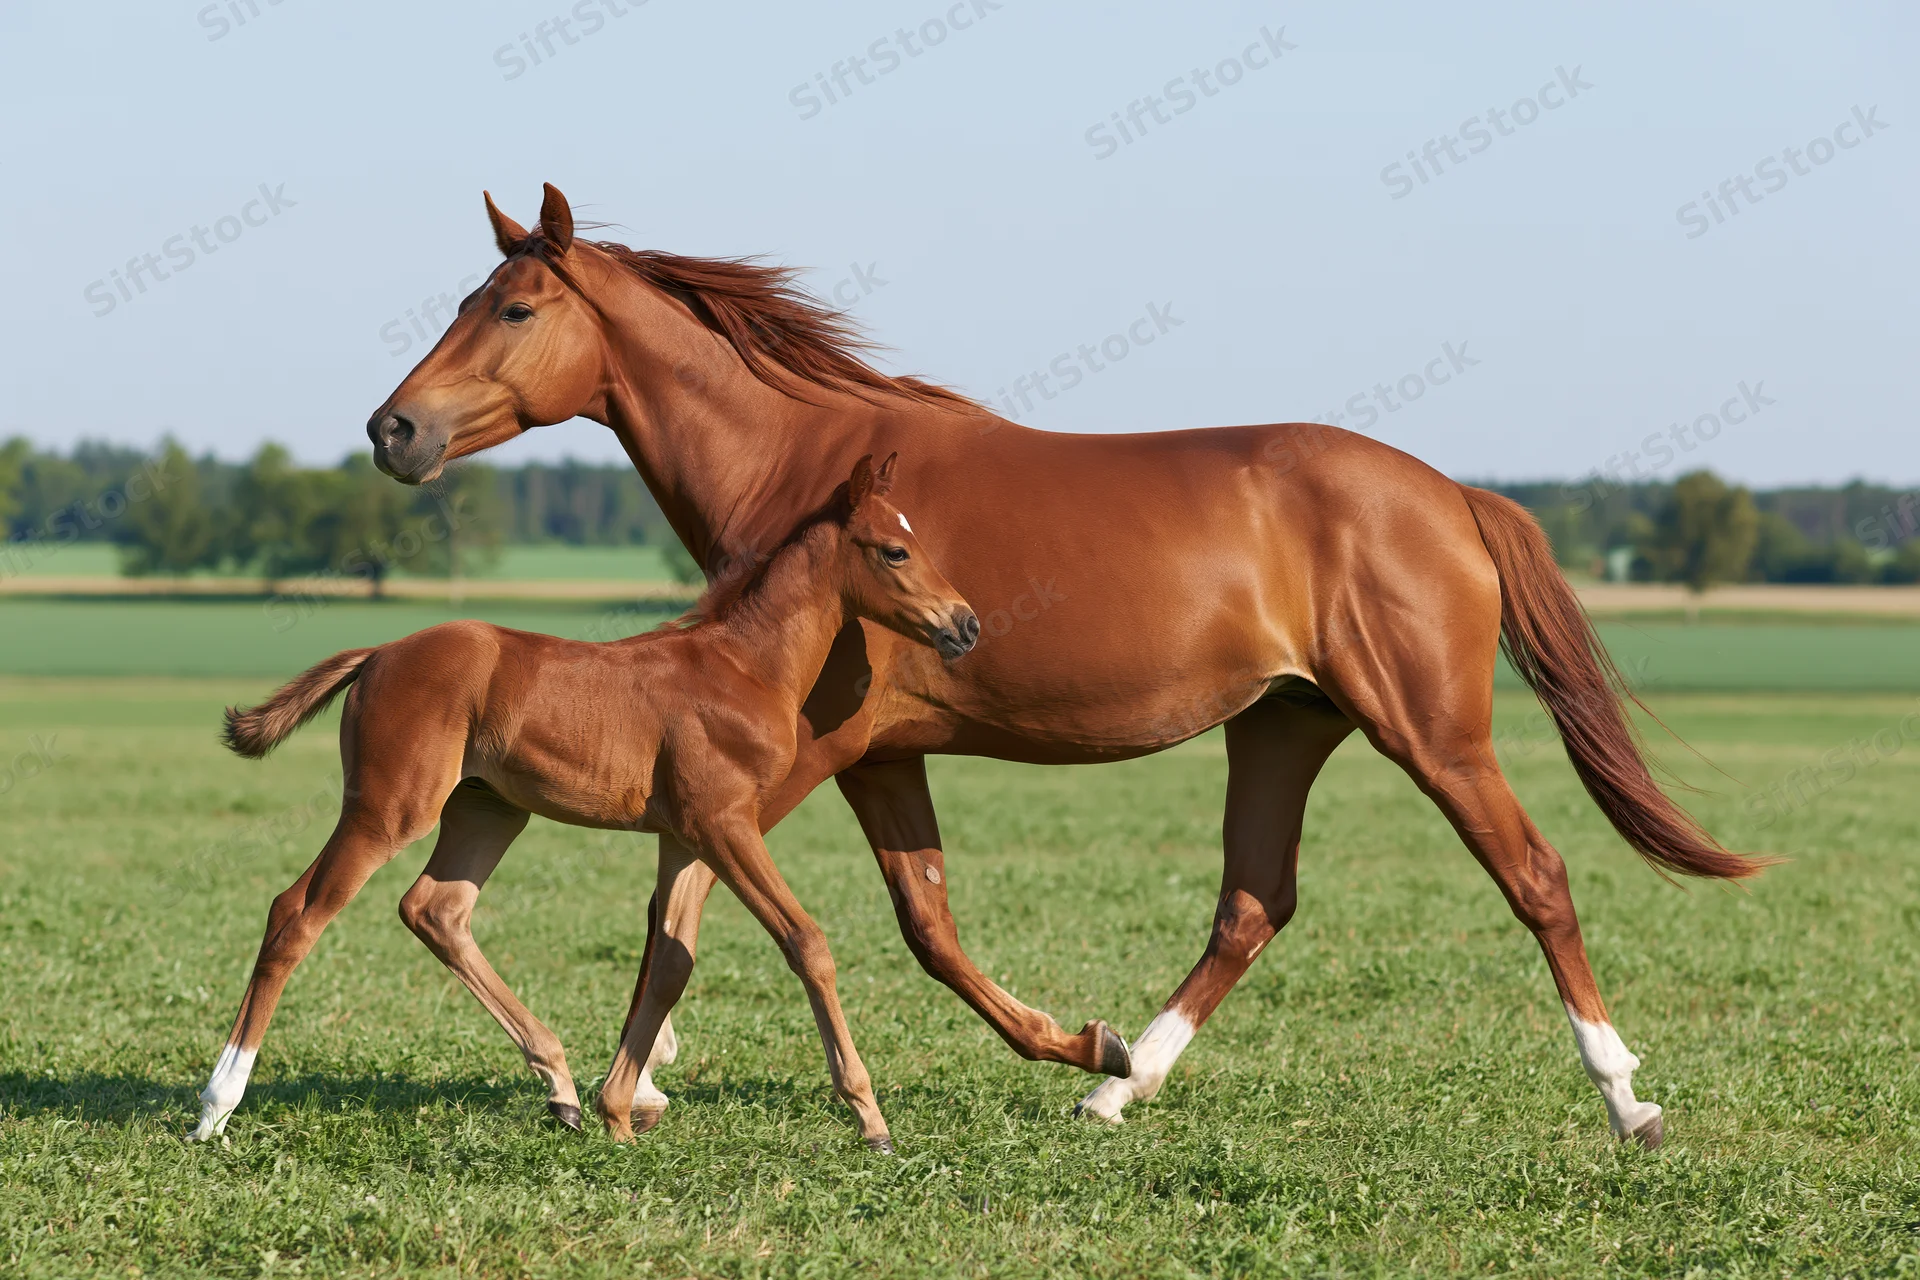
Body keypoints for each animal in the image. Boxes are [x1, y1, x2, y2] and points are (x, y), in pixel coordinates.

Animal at [190, 455, 978, 1150]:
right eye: (895, 550)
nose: (965, 623)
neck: (742, 667)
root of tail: (380, 654)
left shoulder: (682, 837)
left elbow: (670, 961)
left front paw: (619, 1113)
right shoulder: (724, 824)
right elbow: (806, 941)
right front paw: (870, 1121)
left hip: (488, 810)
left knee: (435, 910)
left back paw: (561, 1087)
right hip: (389, 809)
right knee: (296, 913)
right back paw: (217, 1105)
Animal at [363, 183, 1767, 1148]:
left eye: (514, 308)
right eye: (464, 303)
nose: (393, 429)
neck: (822, 489)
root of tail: (1454, 497)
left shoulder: (808, 749)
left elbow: (691, 909)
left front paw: (630, 1081)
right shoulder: (880, 755)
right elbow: (916, 924)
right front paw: (1080, 1043)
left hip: (1432, 732)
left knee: (1534, 875)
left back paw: (1625, 1098)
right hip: (1283, 724)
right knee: (1253, 901)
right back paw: (1121, 1087)